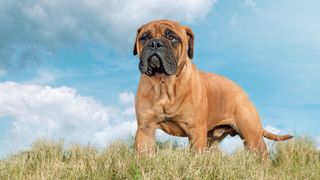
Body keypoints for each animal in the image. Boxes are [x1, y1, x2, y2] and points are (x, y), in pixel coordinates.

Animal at [132, 19, 292, 158]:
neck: (164, 83)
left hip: (251, 136)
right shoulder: (145, 130)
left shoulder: (195, 131)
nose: (155, 43)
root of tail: (242, 91)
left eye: (171, 37)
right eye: (144, 38)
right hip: (212, 140)